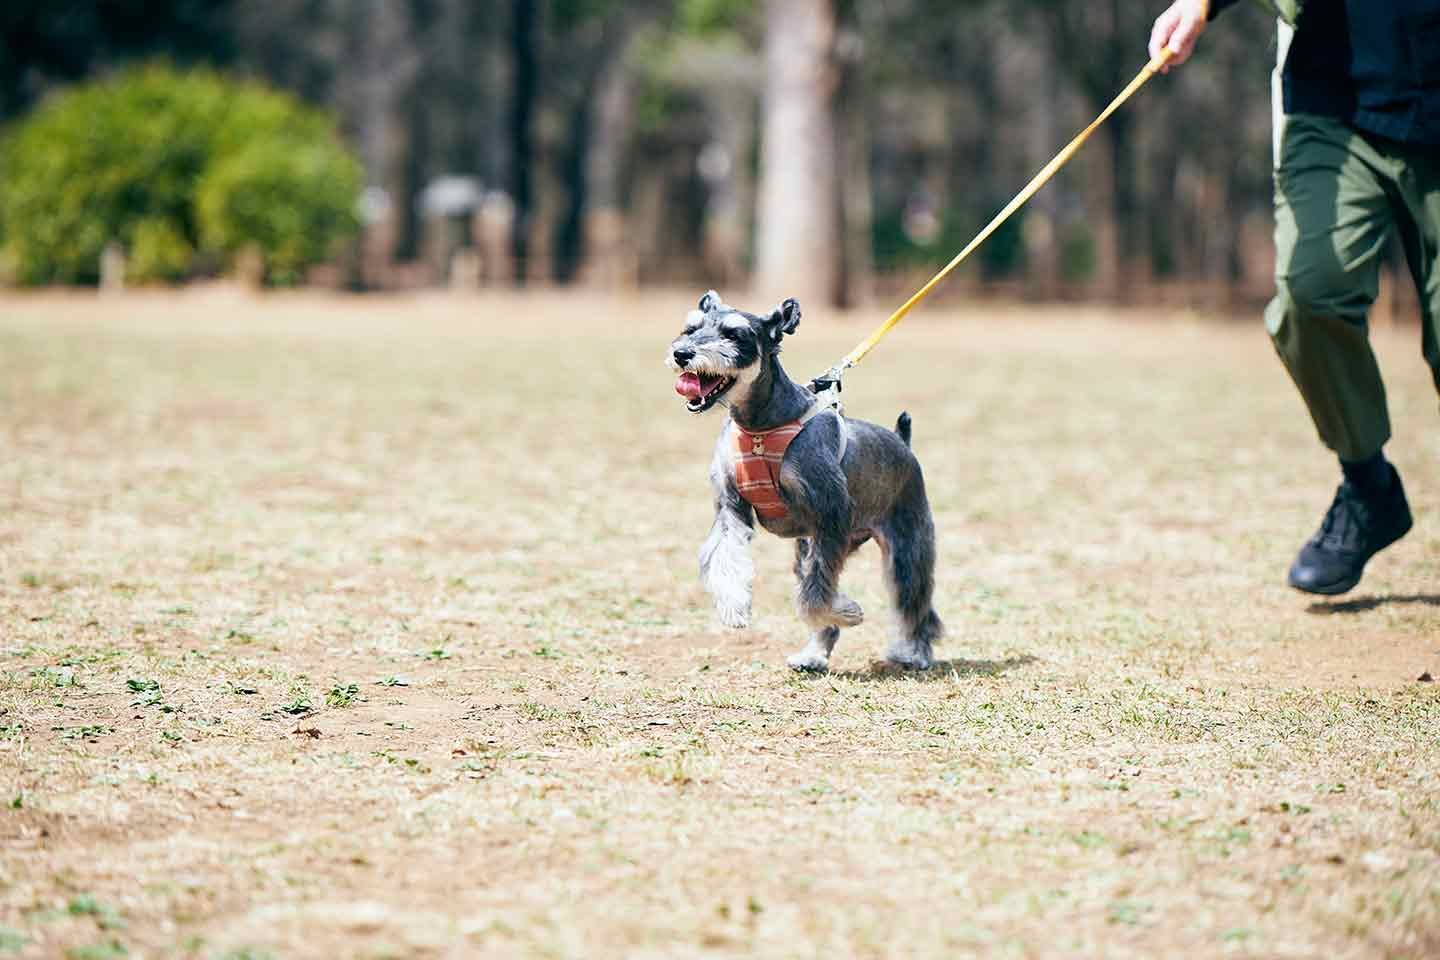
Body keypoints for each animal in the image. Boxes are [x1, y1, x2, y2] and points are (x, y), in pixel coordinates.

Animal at [665, 289, 944, 673]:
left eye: (734, 335)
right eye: (690, 329)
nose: (682, 354)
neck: (760, 425)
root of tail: (903, 442)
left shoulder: (831, 516)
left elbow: (816, 596)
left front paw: (848, 611)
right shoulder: (731, 509)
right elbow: (725, 558)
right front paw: (734, 606)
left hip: (907, 545)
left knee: (914, 602)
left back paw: (914, 652)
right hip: (808, 546)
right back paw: (813, 655)